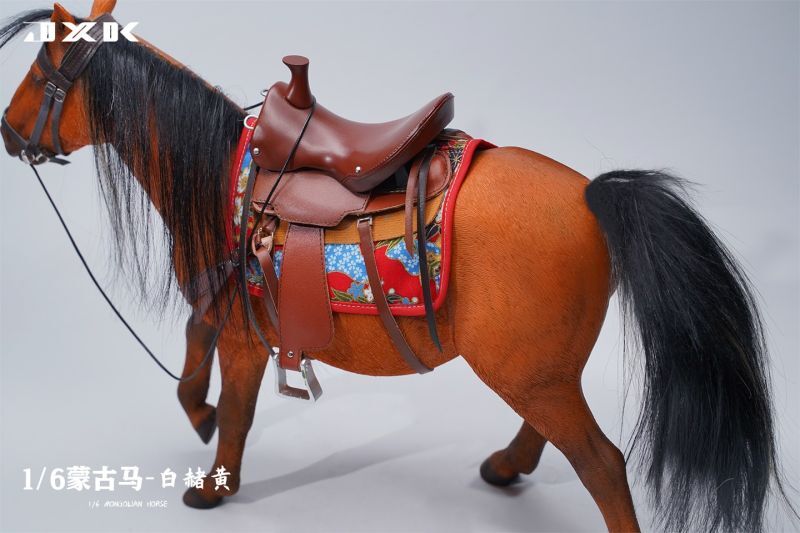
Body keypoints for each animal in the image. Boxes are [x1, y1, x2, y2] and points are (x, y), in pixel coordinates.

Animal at [0, 2, 790, 531]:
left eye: (39, 73)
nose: (8, 132)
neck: (219, 170)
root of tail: (590, 196)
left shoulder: (246, 333)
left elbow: (239, 406)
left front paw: (214, 482)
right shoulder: (220, 303)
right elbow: (195, 353)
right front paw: (199, 414)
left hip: (527, 368)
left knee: (600, 461)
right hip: (540, 366)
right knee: (549, 428)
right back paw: (505, 467)